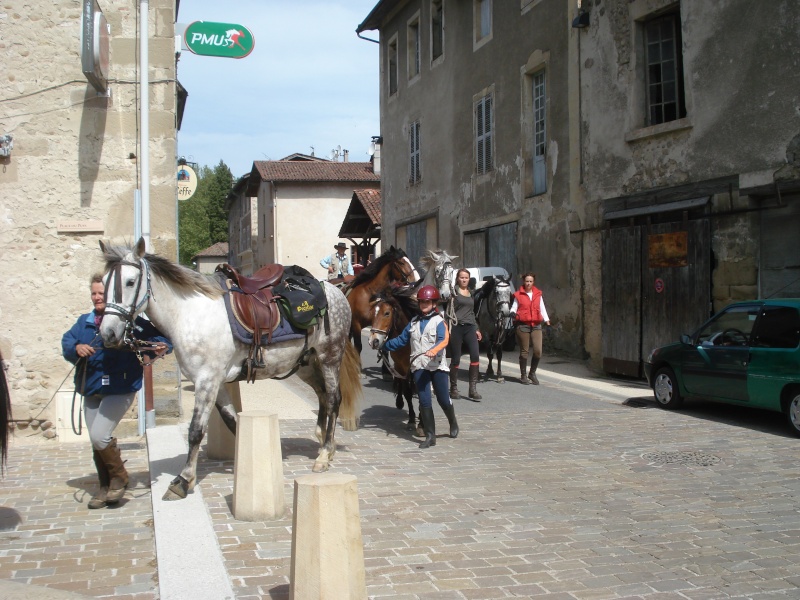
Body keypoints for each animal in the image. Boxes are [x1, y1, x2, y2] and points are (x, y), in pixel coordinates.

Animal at [98, 237, 360, 500]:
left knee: (334, 398)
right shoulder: (215, 382)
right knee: (322, 395)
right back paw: (324, 441)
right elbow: (232, 420)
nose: (108, 333)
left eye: (130, 282)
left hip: (329, 357)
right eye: (103, 282)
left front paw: (183, 480)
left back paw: (324, 454)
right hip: (305, 363)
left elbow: (196, 430)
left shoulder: (207, 381)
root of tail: (335, 291)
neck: (191, 315)